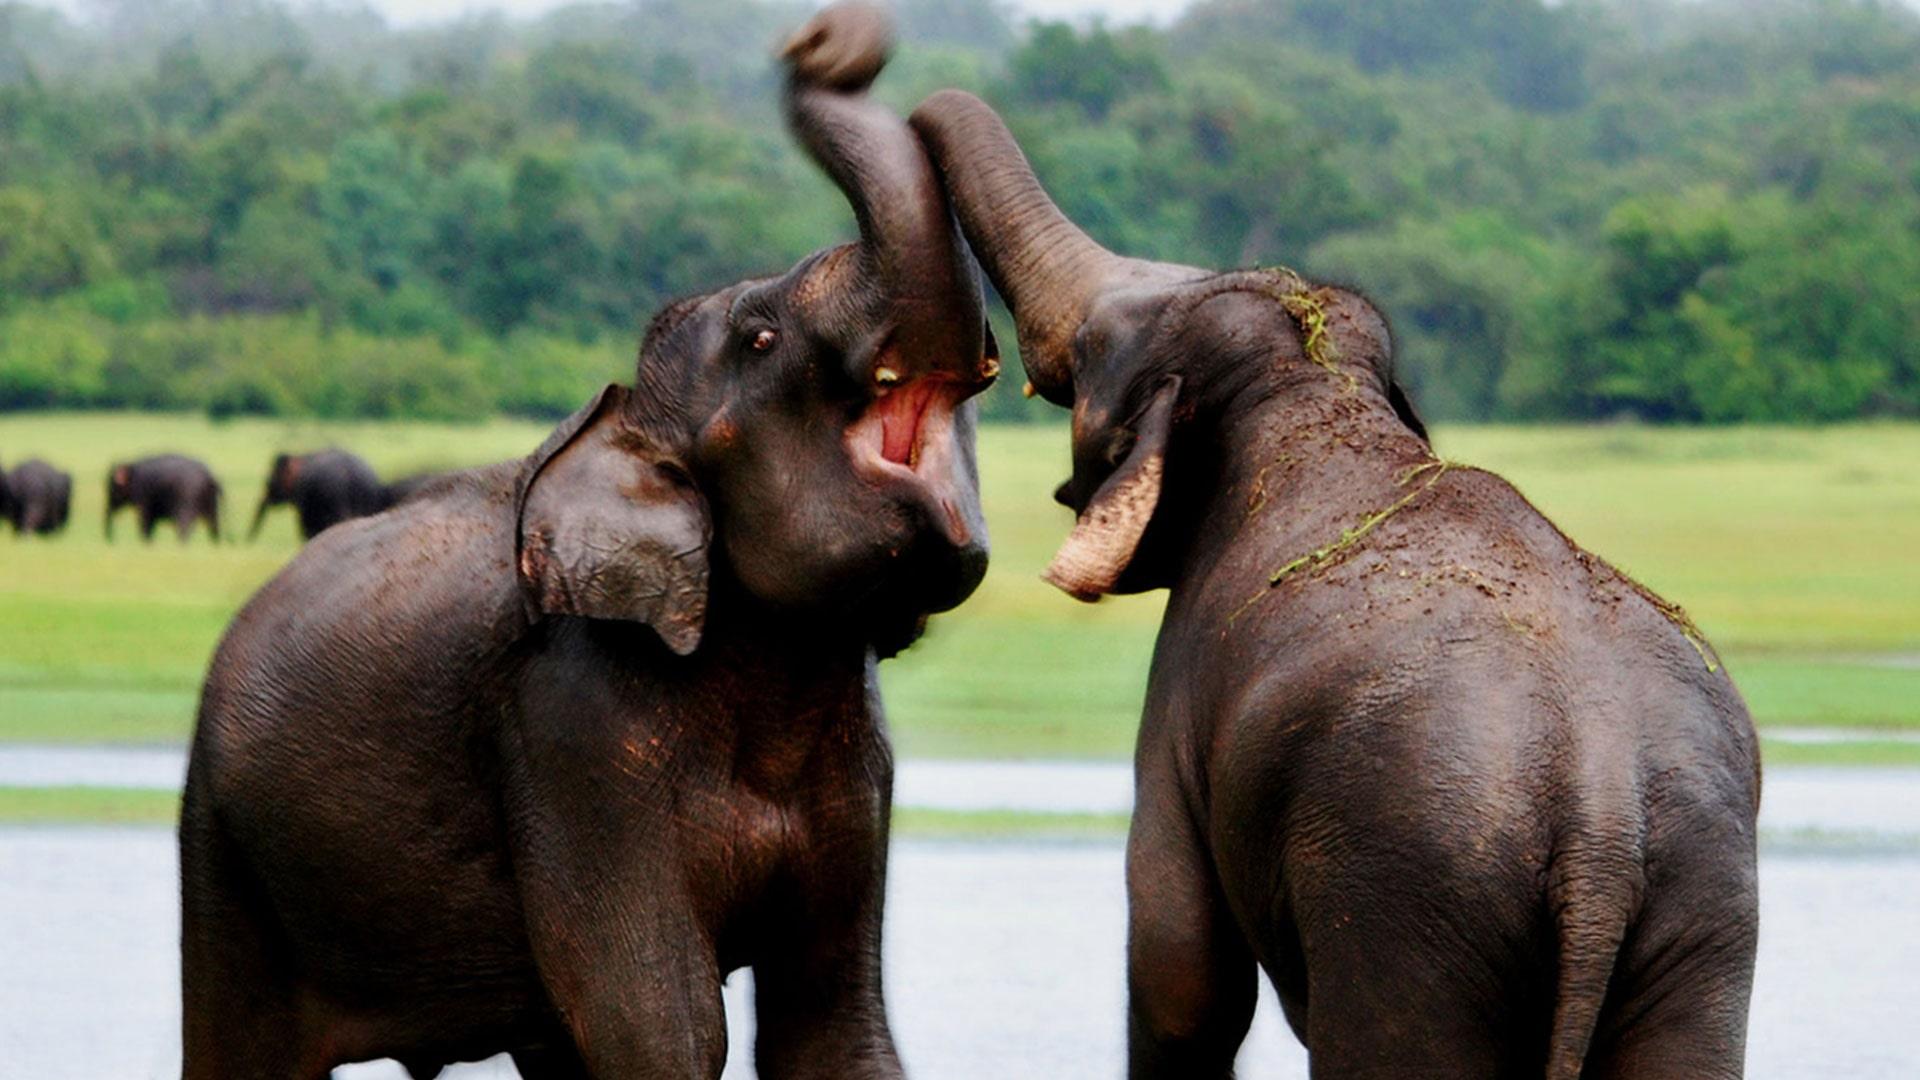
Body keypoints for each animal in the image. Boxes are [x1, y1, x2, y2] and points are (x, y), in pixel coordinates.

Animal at [178, 4, 998, 1068]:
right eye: (761, 339)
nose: (820, 36)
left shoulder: (861, 765)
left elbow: (834, 1025)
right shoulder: (575, 737)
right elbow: (661, 1024)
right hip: (222, 841)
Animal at [906, 92, 1758, 1076]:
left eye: (1090, 354)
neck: (1316, 388)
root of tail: (1601, 825)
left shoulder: (1178, 700)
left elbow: (1181, 974)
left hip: (1410, 894)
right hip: (1703, 909)